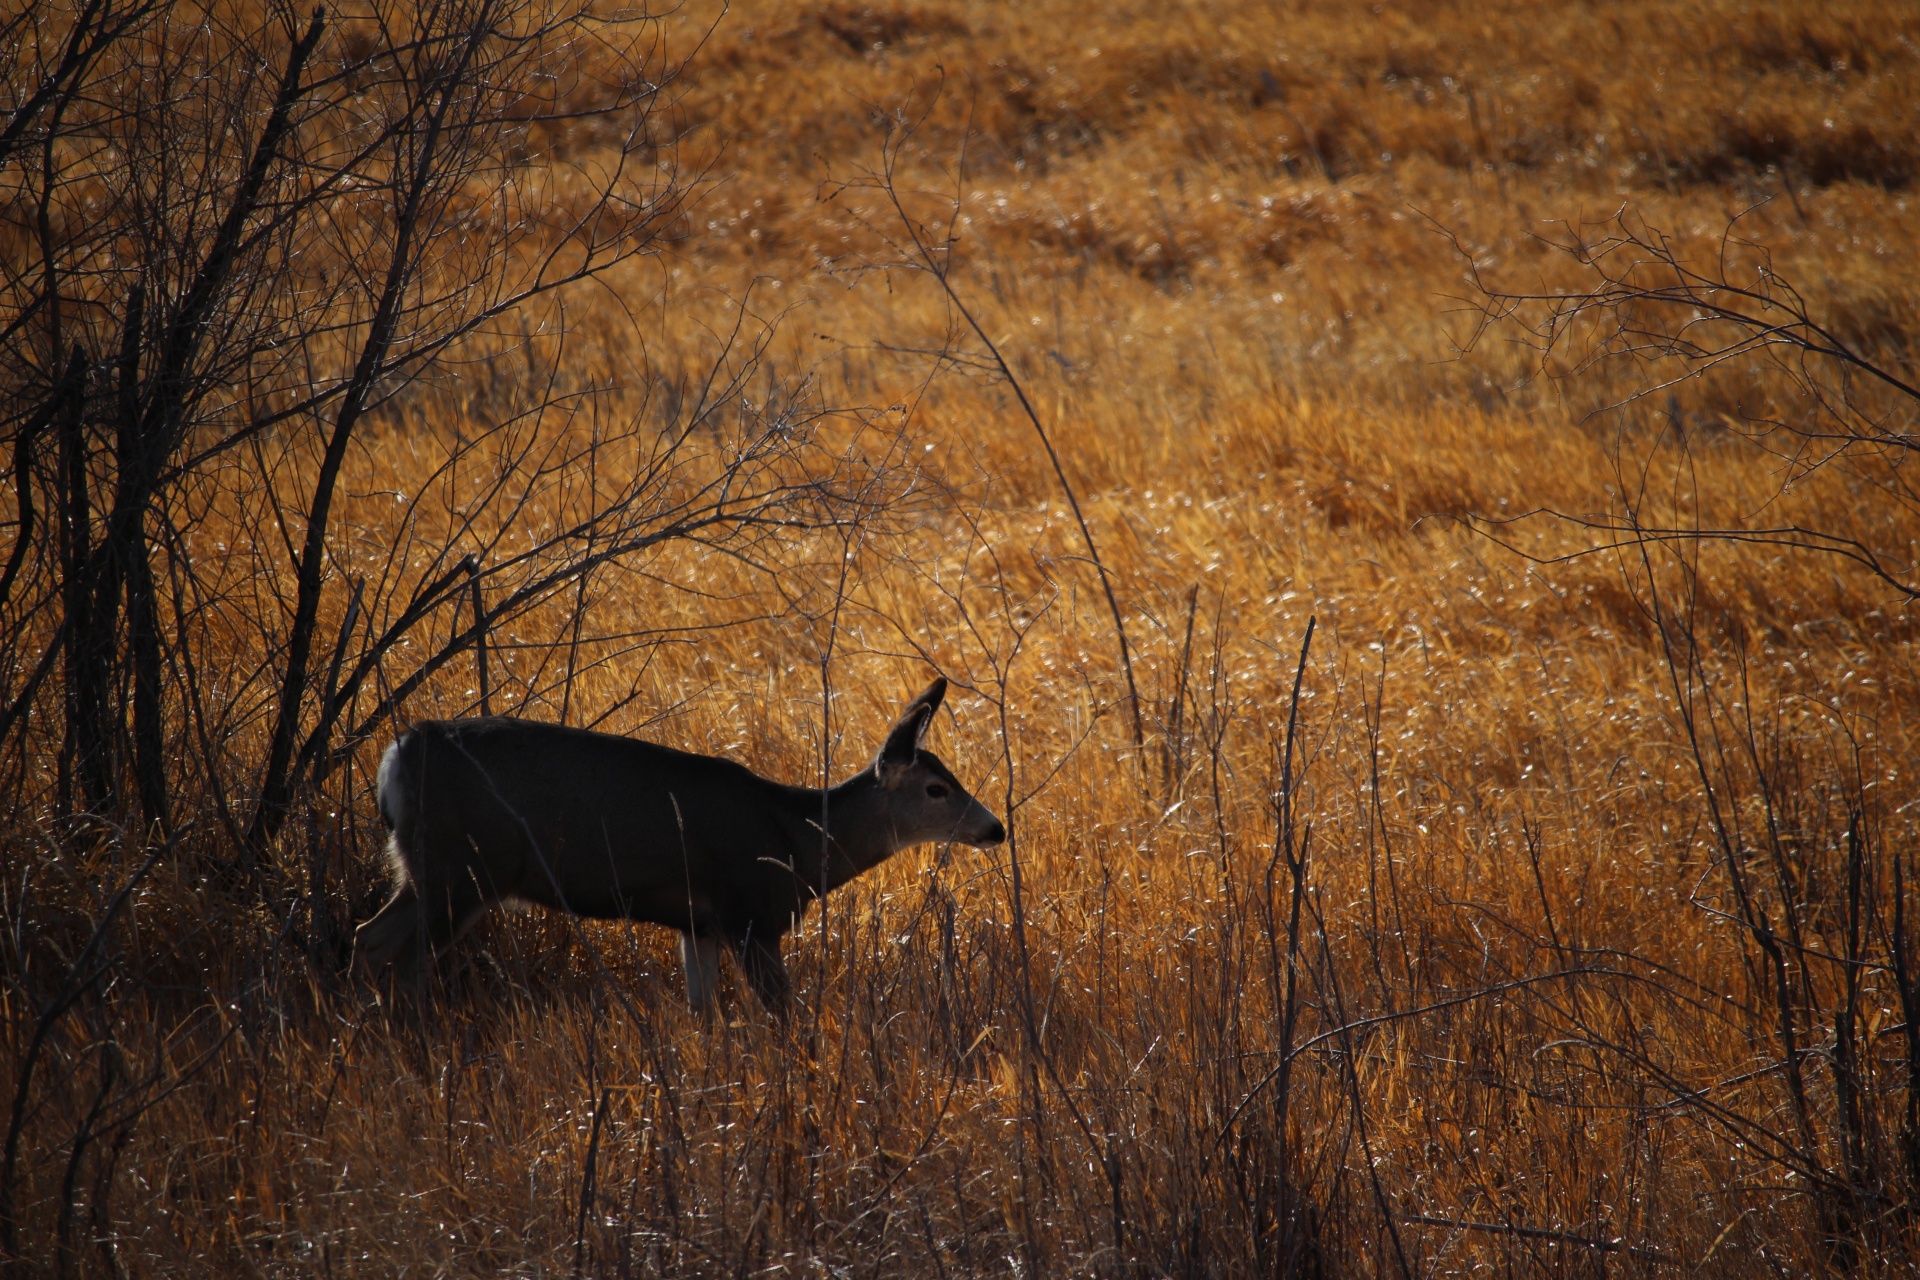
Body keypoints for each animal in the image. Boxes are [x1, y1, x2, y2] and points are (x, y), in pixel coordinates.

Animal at [353, 675, 1006, 1013]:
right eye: (937, 788)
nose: (995, 828)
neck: (797, 842)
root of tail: (396, 756)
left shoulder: (700, 925)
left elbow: (704, 1014)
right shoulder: (749, 913)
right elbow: (783, 1017)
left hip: (429, 871)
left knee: (367, 939)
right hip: (461, 868)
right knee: (403, 957)